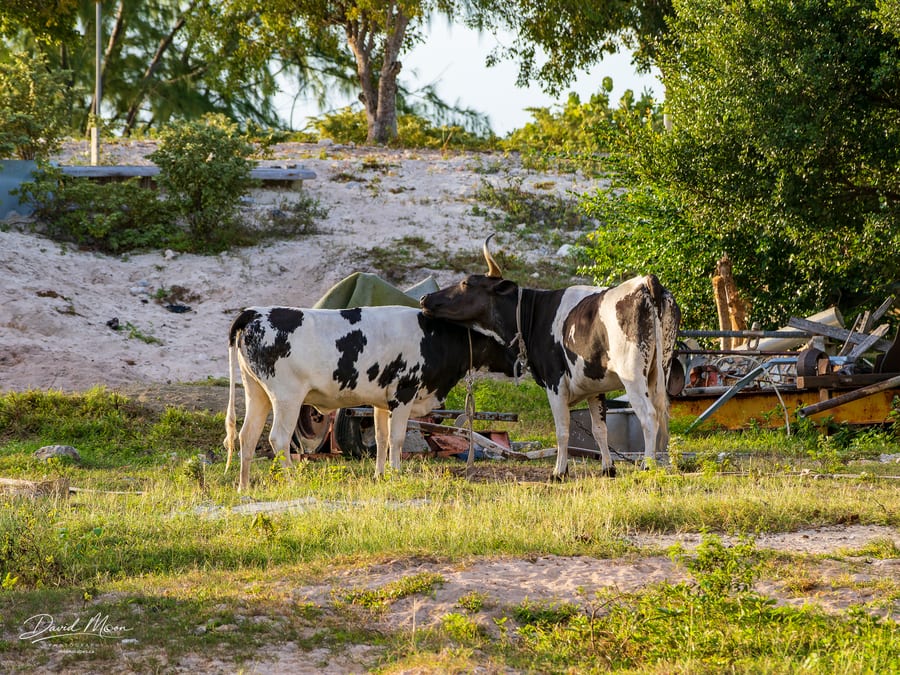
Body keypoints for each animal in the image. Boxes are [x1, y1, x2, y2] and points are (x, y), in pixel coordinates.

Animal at [224, 305, 515, 489]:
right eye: (502, 341)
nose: (520, 364)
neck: (432, 337)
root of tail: (254, 312)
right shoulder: (403, 393)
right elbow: (397, 439)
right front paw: (396, 475)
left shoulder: (380, 402)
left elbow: (381, 437)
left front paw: (380, 475)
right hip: (287, 397)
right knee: (278, 438)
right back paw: (292, 481)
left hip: (256, 391)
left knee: (247, 436)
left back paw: (243, 487)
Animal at [421, 236, 681, 479]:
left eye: (466, 283)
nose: (425, 299)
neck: (534, 315)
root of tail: (646, 281)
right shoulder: (594, 386)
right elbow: (599, 429)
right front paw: (608, 468)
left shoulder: (555, 382)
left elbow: (562, 430)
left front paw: (559, 471)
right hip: (661, 368)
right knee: (662, 415)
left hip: (633, 375)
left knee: (649, 416)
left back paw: (648, 466)